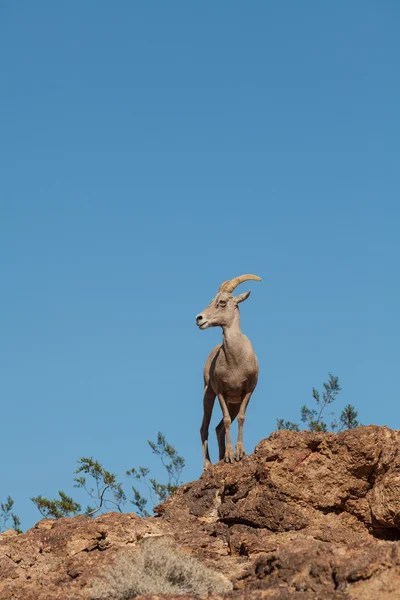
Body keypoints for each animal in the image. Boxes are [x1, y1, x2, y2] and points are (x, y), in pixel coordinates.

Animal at [195, 276, 260, 468]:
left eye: (222, 302)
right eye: (211, 301)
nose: (199, 318)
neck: (235, 361)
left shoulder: (247, 392)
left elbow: (240, 419)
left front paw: (239, 453)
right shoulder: (221, 392)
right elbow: (226, 420)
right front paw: (231, 456)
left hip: (233, 404)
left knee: (218, 428)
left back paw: (220, 458)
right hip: (208, 395)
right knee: (205, 427)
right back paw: (208, 465)